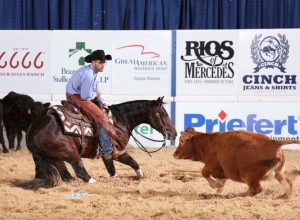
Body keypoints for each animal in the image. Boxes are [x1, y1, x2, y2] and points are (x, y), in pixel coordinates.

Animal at [25, 96, 177, 187]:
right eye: (164, 114)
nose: (174, 133)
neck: (119, 121)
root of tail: (33, 130)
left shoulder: (118, 152)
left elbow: (132, 163)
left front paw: (141, 177)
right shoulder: (113, 151)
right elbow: (114, 169)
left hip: (55, 157)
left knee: (66, 174)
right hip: (69, 151)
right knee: (79, 169)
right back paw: (93, 182)